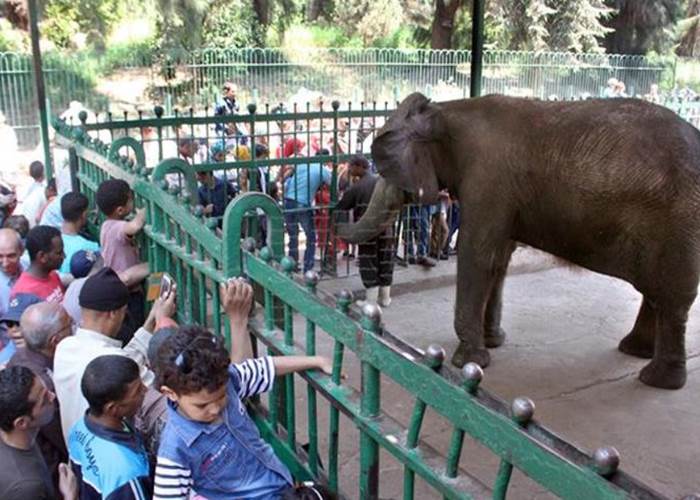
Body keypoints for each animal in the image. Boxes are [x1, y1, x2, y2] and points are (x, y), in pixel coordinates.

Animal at [334, 93, 700, 390]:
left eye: (389, 167)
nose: (342, 205)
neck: (448, 110)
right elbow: (498, 260)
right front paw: (493, 342)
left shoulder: (488, 179)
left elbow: (477, 254)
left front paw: (468, 362)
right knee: (657, 293)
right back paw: (635, 352)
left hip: (680, 222)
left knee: (672, 298)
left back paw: (658, 380)